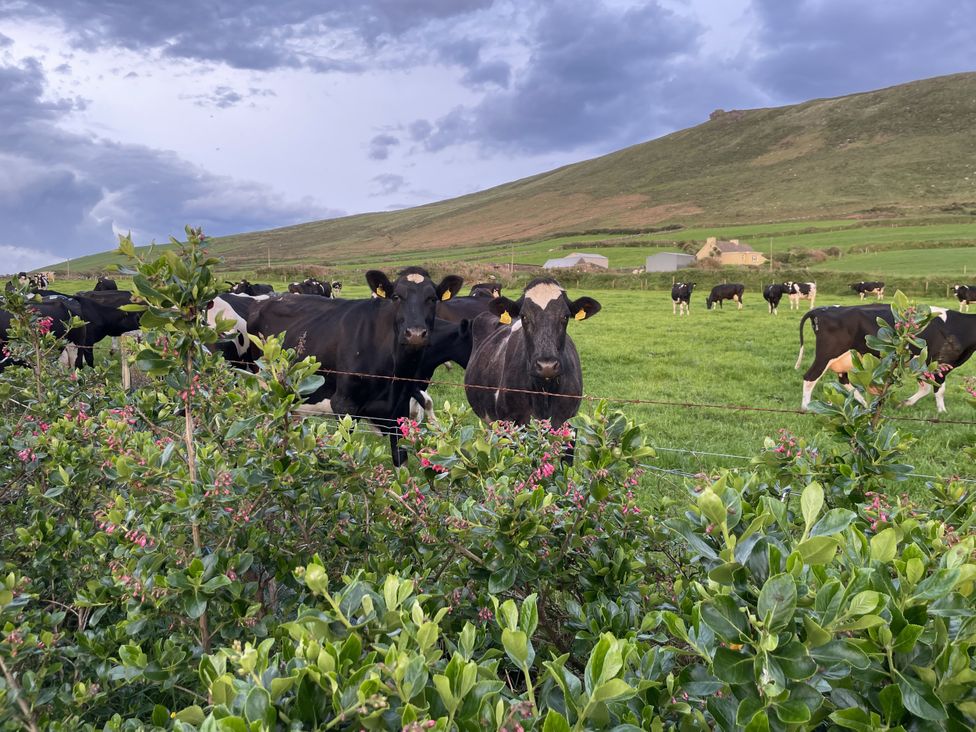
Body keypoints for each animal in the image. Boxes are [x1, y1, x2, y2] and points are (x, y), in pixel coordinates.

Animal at [247, 267, 464, 466]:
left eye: (432, 299)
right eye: (396, 297)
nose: (416, 334)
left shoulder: (400, 411)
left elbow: (400, 463)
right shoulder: (344, 406)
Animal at [463, 279, 601, 443]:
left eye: (565, 317)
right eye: (524, 317)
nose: (547, 366)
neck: (544, 393)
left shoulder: (569, 423)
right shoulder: (510, 424)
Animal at [795, 304, 976, 412]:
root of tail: (821, 309)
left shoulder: (923, 364)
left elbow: (925, 388)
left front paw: (904, 403)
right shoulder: (939, 363)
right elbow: (939, 390)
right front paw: (942, 411)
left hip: (846, 358)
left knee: (844, 380)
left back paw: (865, 404)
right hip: (827, 354)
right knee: (810, 377)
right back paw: (806, 407)